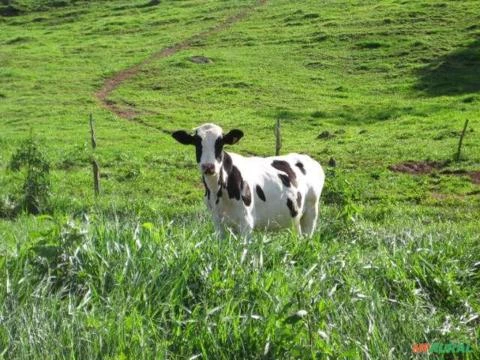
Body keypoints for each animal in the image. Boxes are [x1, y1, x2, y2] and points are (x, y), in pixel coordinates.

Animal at [171, 122, 324, 238]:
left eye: (220, 144)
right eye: (197, 143)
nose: (208, 166)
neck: (217, 192)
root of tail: (308, 158)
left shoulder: (246, 223)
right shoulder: (218, 223)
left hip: (311, 212)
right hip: (295, 217)